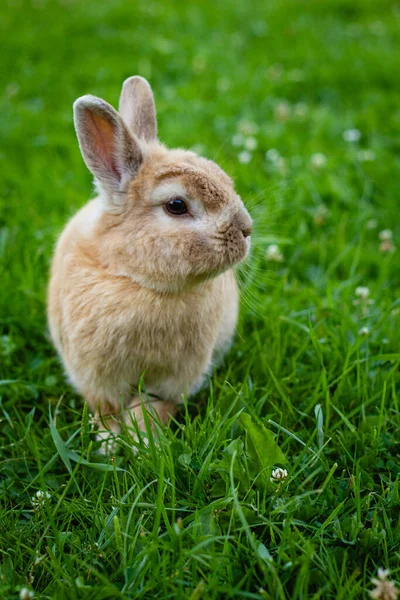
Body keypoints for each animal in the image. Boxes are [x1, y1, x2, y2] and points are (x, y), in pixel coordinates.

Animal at [47, 76, 252, 446]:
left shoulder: (174, 379)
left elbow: (153, 406)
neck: (136, 280)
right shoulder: (95, 377)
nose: (246, 229)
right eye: (176, 205)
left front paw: (142, 442)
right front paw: (110, 444)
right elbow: (106, 409)